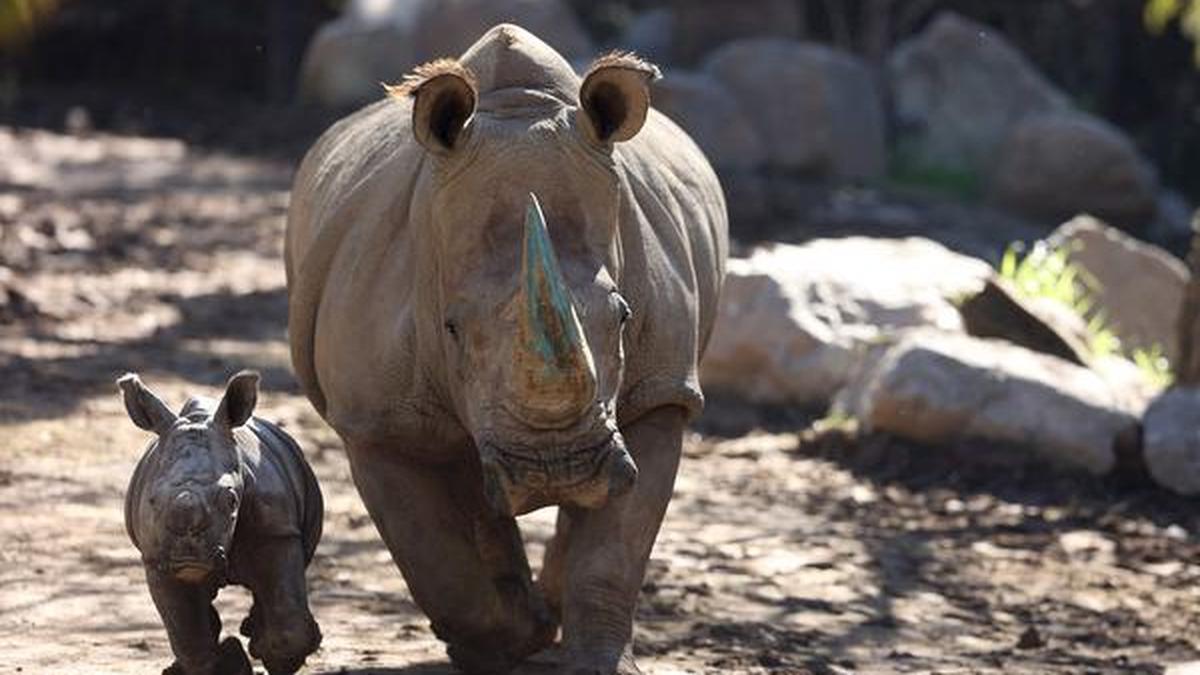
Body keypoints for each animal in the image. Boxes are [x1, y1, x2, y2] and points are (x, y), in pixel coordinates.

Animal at [121, 371, 323, 675]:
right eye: (152, 500)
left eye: (231, 499)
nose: (187, 556)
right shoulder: (156, 558)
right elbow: (188, 636)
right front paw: (232, 661)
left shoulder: (276, 532)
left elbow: (288, 623)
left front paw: (272, 657)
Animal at [285, 24, 727, 674]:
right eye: (450, 329)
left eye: (623, 317)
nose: (557, 470)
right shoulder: (373, 419)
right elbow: (435, 558)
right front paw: (511, 641)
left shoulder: (660, 390)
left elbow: (616, 547)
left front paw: (593, 660)